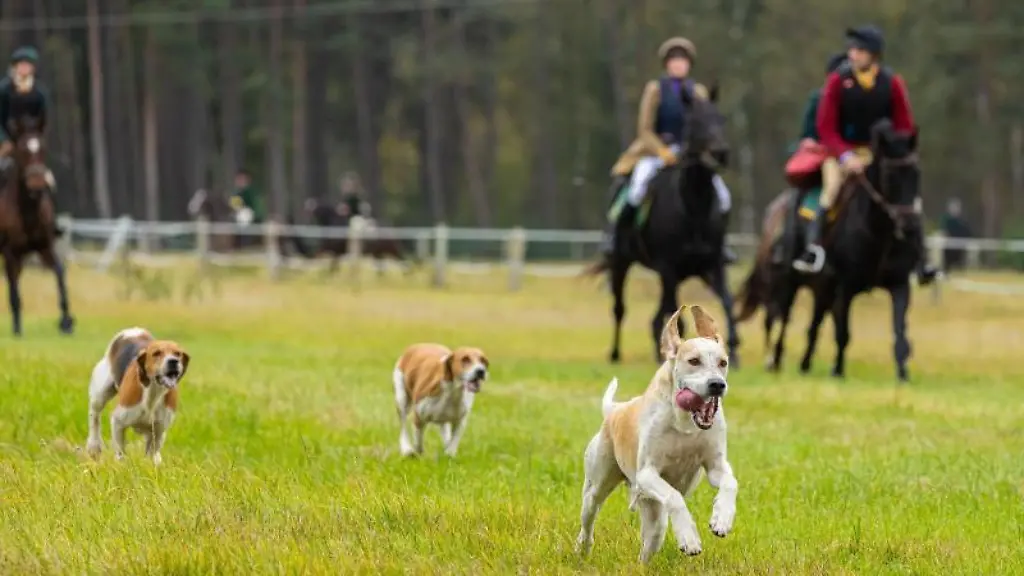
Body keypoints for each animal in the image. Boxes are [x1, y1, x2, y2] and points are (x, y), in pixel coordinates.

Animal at [0, 117, 74, 336]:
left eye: (43, 148)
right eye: (22, 150)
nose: (37, 184)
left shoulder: (44, 247)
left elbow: (60, 273)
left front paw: (66, 321)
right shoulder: (10, 251)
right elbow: (14, 288)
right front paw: (17, 328)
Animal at [85, 327, 190, 465]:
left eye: (177, 353)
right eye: (156, 353)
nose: (173, 361)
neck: (153, 393)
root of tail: (134, 330)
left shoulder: (159, 430)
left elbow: (152, 452)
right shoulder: (118, 421)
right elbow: (120, 452)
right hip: (100, 393)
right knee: (95, 415)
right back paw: (94, 445)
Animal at [575, 305, 737, 563]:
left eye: (723, 362)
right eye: (693, 361)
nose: (717, 384)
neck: (684, 423)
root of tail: (614, 411)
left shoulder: (715, 466)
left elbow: (730, 482)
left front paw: (721, 519)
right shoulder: (647, 474)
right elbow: (675, 497)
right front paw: (689, 539)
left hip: (653, 512)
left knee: (650, 540)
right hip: (597, 485)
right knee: (589, 517)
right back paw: (583, 548)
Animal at [583, 85, 742, 367]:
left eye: (721, 119)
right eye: (694, 121)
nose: (721, 153)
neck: (694, 208)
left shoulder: (713, 265)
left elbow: (728, 302)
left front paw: (733, 352)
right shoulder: (669, 267)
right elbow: (677, 316)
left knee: (658, 314)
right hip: (621, 262)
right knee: (620, 308)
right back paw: (615, 353)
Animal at [783, 119, 923, 381]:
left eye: (917, 173)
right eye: (890, 175)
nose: (909, 226)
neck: (879, 232)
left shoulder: (900, 283)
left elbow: (900, 331)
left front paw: (903, 374)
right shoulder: (845, 285)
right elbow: (843, 333)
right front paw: (837, 371)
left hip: (823, 289)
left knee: (815, 322)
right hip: (794, 282)